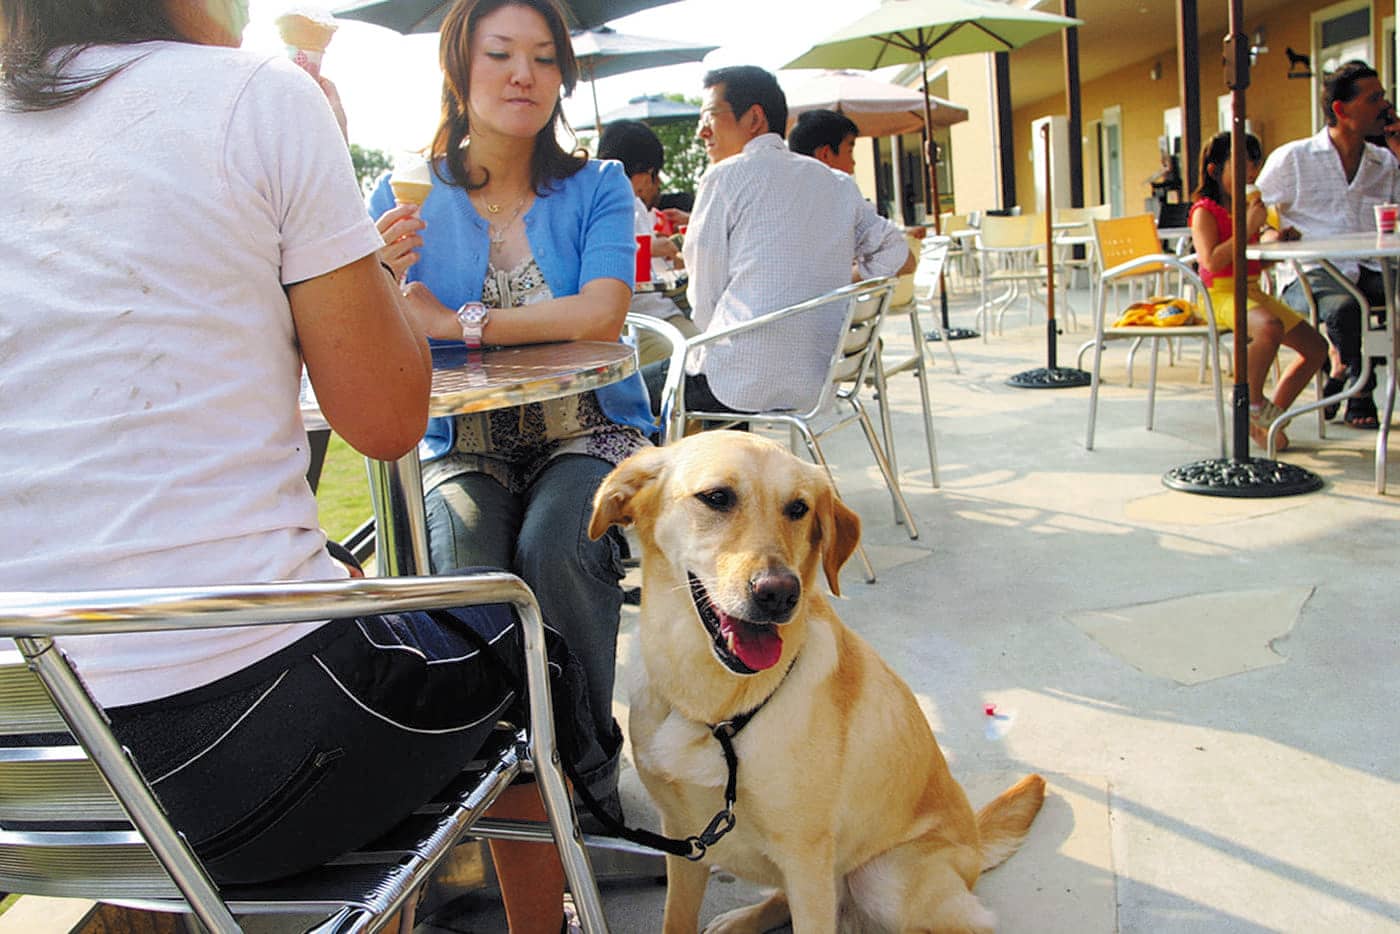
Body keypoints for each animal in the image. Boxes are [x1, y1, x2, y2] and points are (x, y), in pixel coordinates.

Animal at [588, 434, 1041, 929]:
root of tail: (976, 838)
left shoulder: (806, 861)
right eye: (717, 497)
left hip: (883, 878)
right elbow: (676, 919)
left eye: (798, 508)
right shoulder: (683, 842)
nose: (779, 593)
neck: (718, 707)